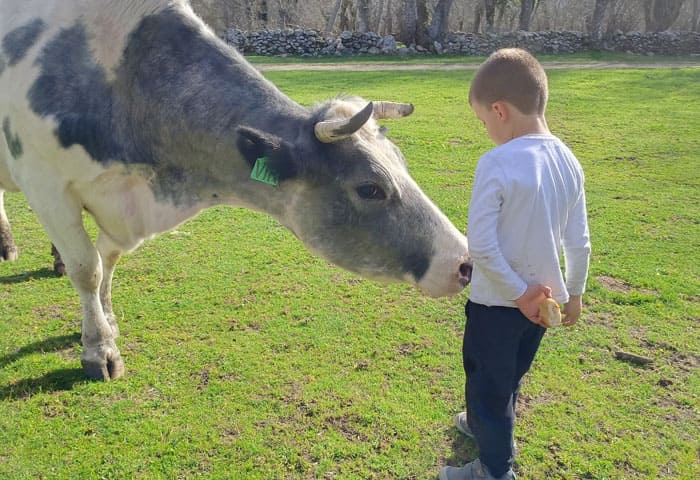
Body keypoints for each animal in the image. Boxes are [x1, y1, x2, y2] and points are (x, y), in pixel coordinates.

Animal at [1, 0, 470, 382]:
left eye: (401, 161)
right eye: (369, 188)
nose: (464, 262)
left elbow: (109, 260)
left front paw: (108, 322)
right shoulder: (44, 181)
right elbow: (89, 268)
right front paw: (99, 350)